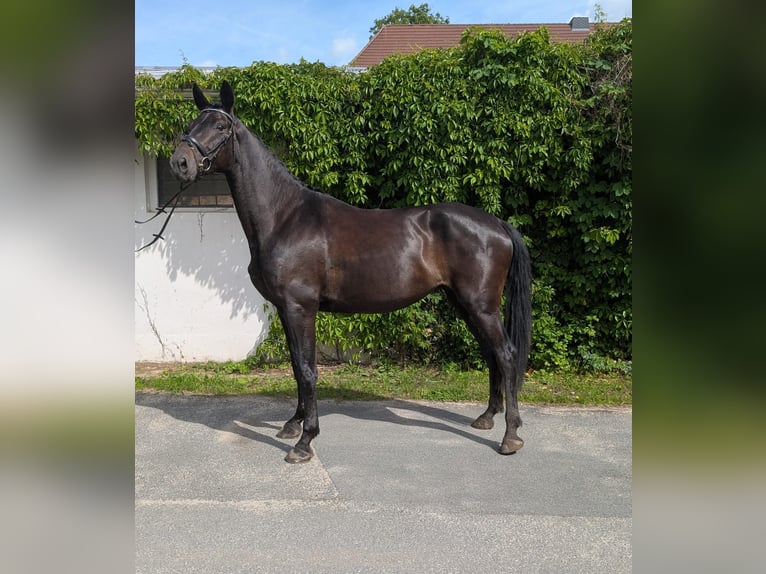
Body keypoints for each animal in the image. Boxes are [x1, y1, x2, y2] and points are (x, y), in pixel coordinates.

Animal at [168, 81, 532, 463]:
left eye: (220, 126)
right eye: (192, 123)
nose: (180, 162)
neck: (285, 217)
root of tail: (497, 224)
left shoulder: (301, 308)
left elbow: (308, 370)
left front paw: (304, 441)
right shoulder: (286, 309)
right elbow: (297, 367)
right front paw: (293, 424)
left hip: (481, 305)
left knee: (507, 356)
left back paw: (510, 436)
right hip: (464, 304)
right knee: (491, 354)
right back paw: (487, 417)